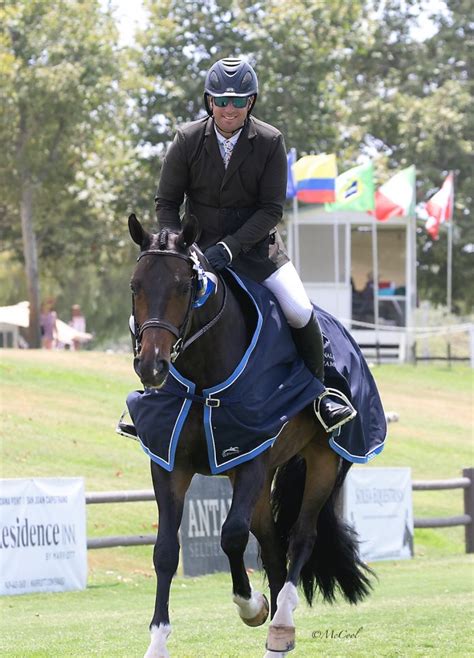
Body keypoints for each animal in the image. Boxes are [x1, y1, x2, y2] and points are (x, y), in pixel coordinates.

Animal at [126, 214, 374, 656]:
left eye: (184, 287)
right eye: (135, 285)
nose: (151, 367)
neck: (202, 379)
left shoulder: (252, 458)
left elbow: (231, 536)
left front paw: (252, 607)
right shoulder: (169, 462)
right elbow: (166, 551)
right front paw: (157, 641)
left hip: (323, 461)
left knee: (300, 537)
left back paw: (281, 620)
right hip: (260, 483)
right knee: (272, 546)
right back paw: (278, 632)